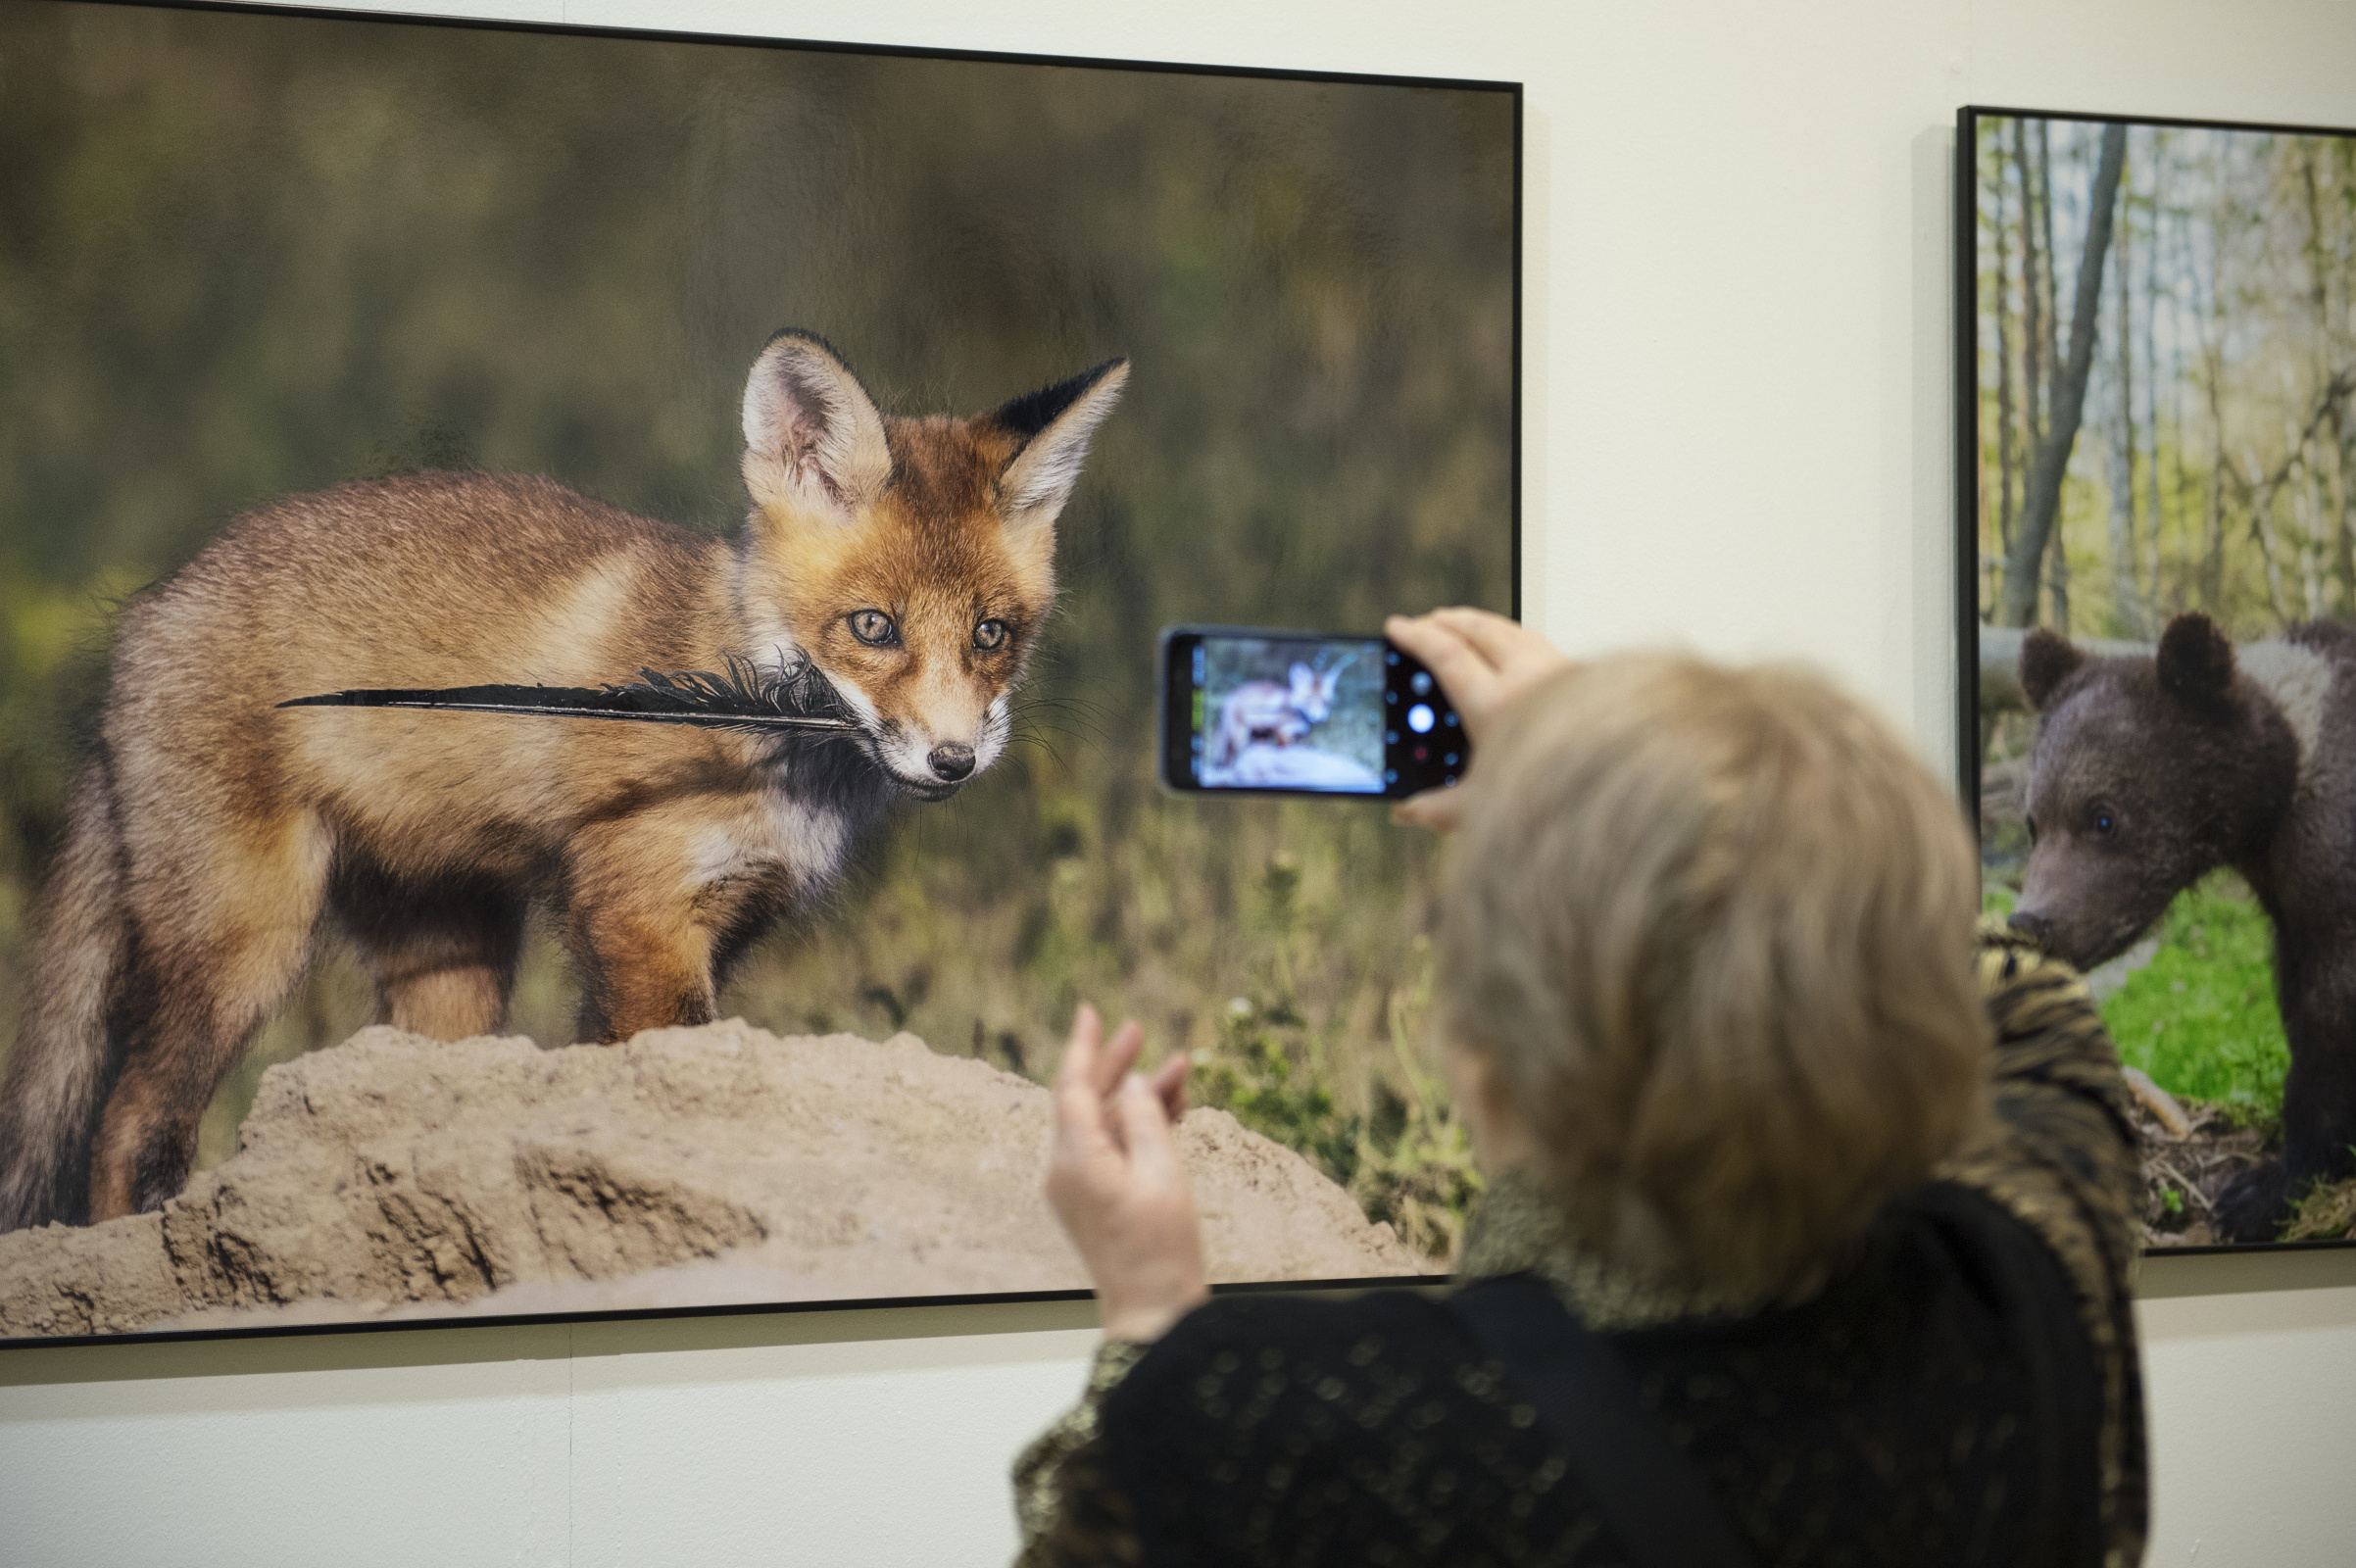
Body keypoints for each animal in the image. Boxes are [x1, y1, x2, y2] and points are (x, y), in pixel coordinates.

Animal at [0, 331, 1130, 1233]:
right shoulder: (639, 909)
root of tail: (150, 608)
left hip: (455, 963)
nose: (953, 760)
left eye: (992, 635)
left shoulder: (713, 918)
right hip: (245, 943)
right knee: (127, 1121)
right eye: (873, 628)